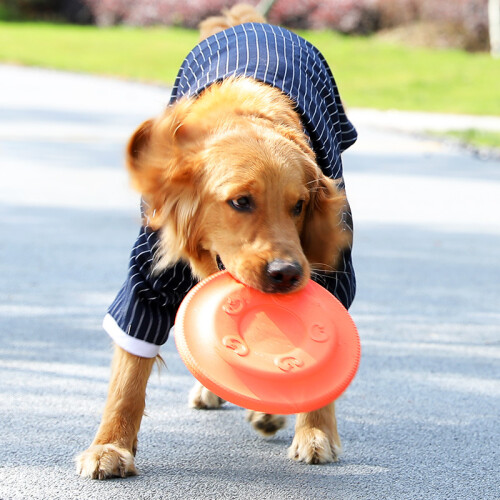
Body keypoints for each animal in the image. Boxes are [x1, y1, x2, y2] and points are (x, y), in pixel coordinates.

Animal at [76, 4, 358, 480]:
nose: (286, 274)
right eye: (240, 201)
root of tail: (250, 21)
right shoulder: (147, 277)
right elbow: (129, 374)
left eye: (299, 205)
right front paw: (110, 445)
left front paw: (315, 432)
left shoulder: (332, 275)